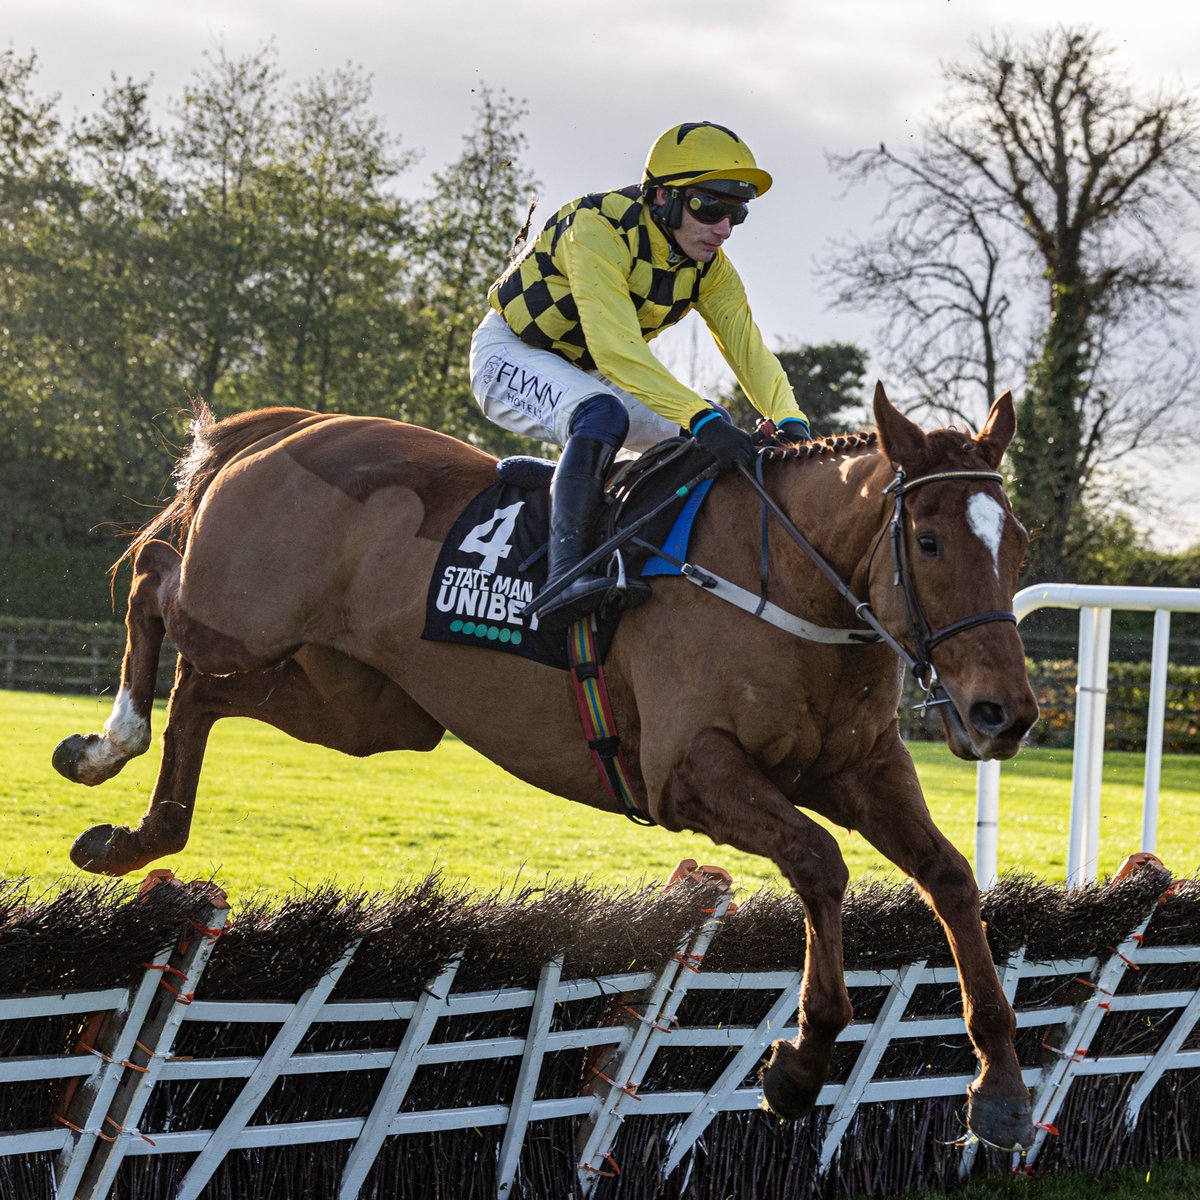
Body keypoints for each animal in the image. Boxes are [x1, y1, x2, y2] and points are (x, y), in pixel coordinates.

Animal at [52, 383, 1040, 1149]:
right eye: (930, 543)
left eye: (1019, 543)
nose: (1006, 714)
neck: (789, 583)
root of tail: (291, 425)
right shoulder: (692, 773)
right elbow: (822, 863)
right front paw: (799, 1064)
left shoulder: (861, 771)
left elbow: (952, 878)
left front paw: (999, 1086)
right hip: (239, 611)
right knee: (155, 580)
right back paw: (104, 746)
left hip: (367, 709)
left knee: (204, 696)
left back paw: (136, 838)